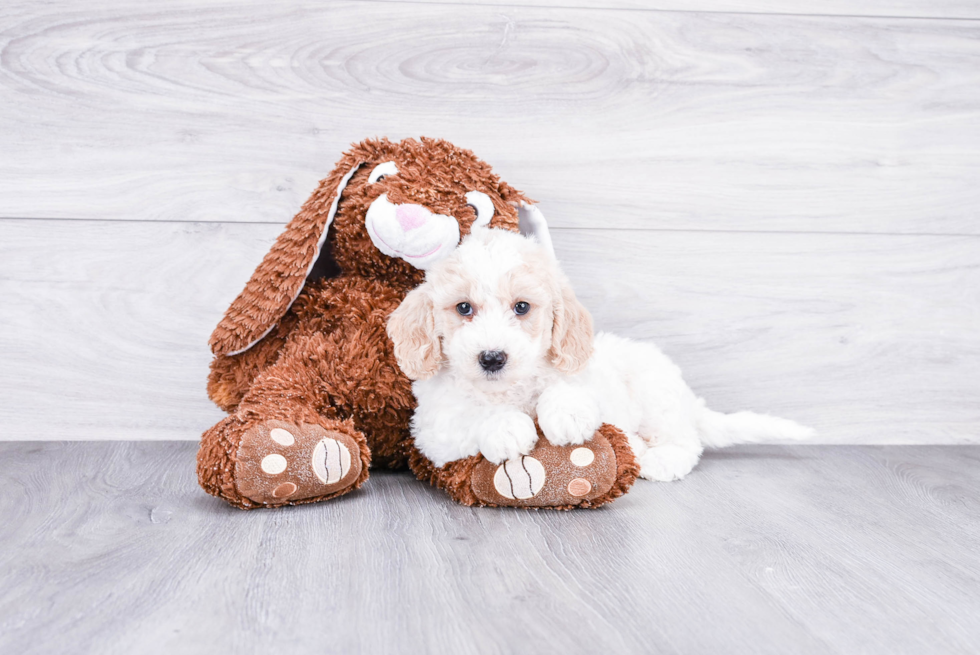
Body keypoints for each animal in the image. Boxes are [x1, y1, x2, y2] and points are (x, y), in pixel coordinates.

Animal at [386, 228, 816, 480]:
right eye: (463, 308)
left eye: (522, 307)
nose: (492, 358)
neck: (508, 389)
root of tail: (689, 402)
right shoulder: (432, 428)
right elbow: (470, 416)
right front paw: (505, 428)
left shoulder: (586, 373)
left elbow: (569, 388)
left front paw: (567, 414)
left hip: (655, 391)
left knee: (684, 441)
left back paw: (657, 459)